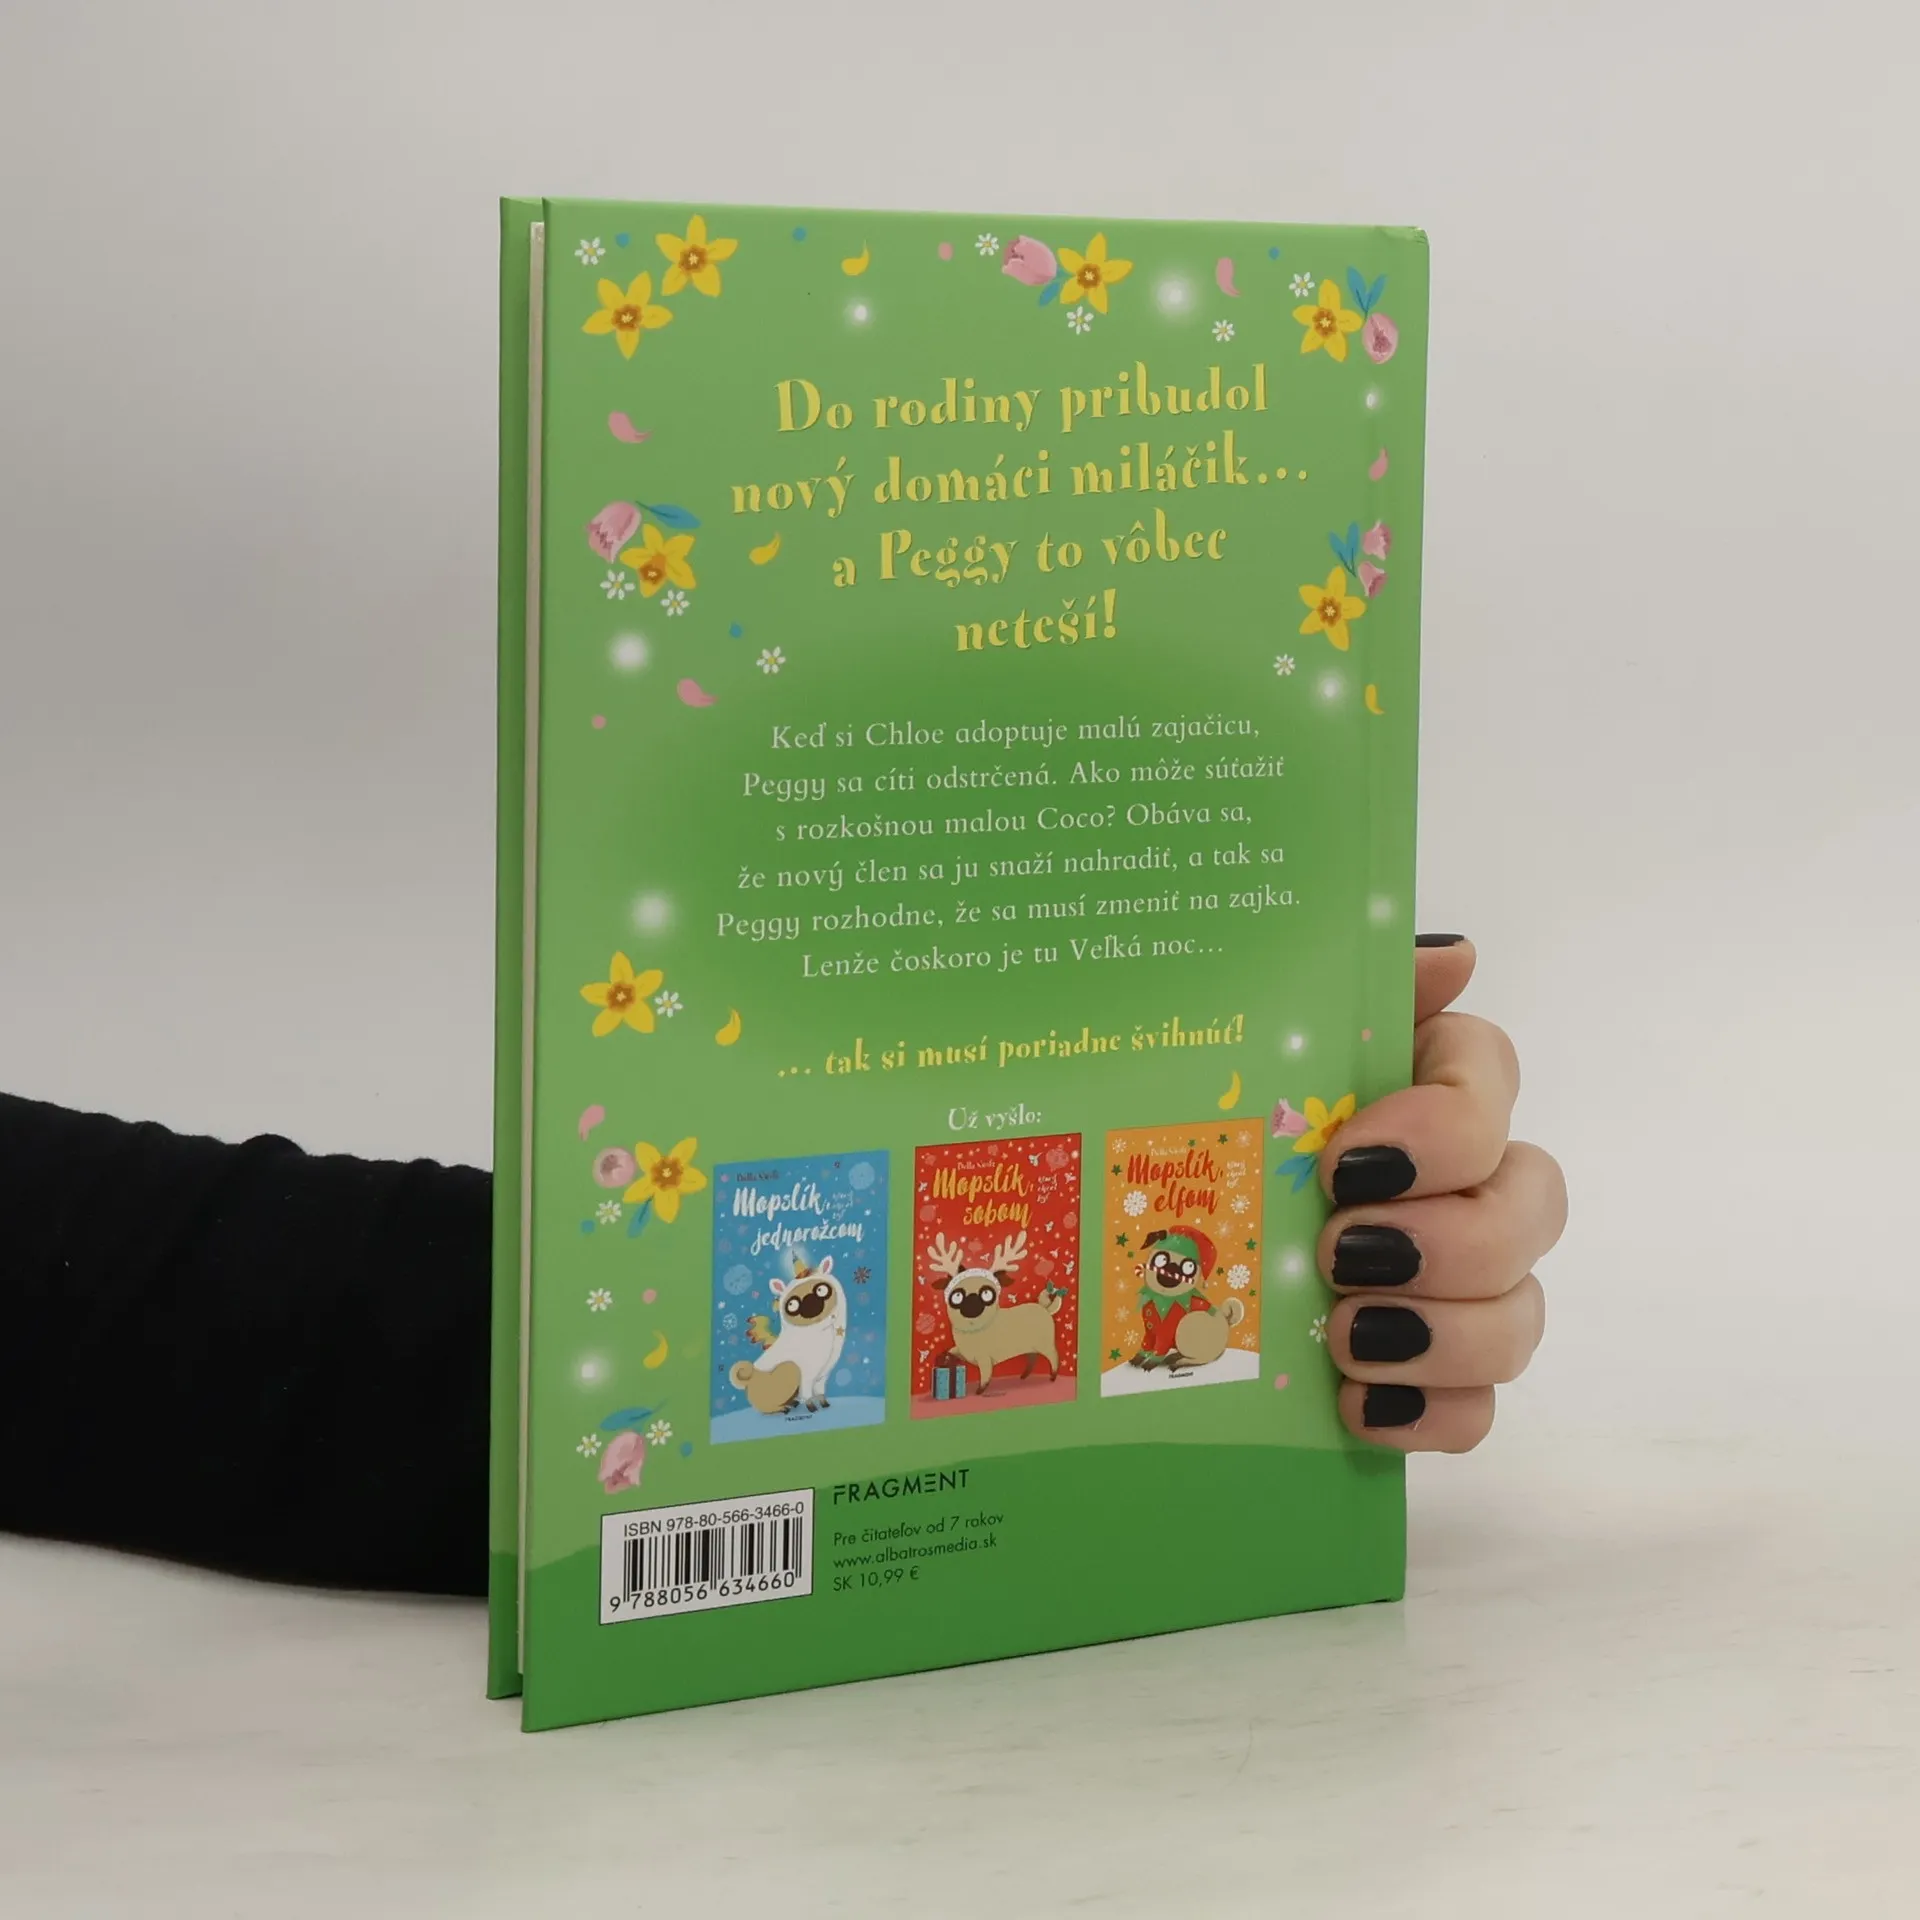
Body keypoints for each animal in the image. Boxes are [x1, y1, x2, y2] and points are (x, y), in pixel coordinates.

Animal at [729, 1255, 848, 1415]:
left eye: (821, 1290)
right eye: (792, 1305)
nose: (810, 1302)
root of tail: (751, 1375)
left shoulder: (822, 1375)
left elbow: (820, 1390)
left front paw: (823, 1402)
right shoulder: (807, 1373)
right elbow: (807, 1392)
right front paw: (810, 1406)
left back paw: (792, 1402)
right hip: (789, 1371)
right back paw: (783, 1408)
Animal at [927, 1231, 1062, 1394]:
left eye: (986, 1294)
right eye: (957, 1296)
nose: (972, 1302)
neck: (973, 1331)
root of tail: (1045, 1309)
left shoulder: (984, 1359)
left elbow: (985, 1376)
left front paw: (980, 1390)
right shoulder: (962, 1351)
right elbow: (951, 1351)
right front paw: (944, 1358)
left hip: (1045, 1345)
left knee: (1054, 1356)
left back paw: (1053, 1376)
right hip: (1031, 1347)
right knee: (1032, 1358)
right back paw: (1024, 1376)